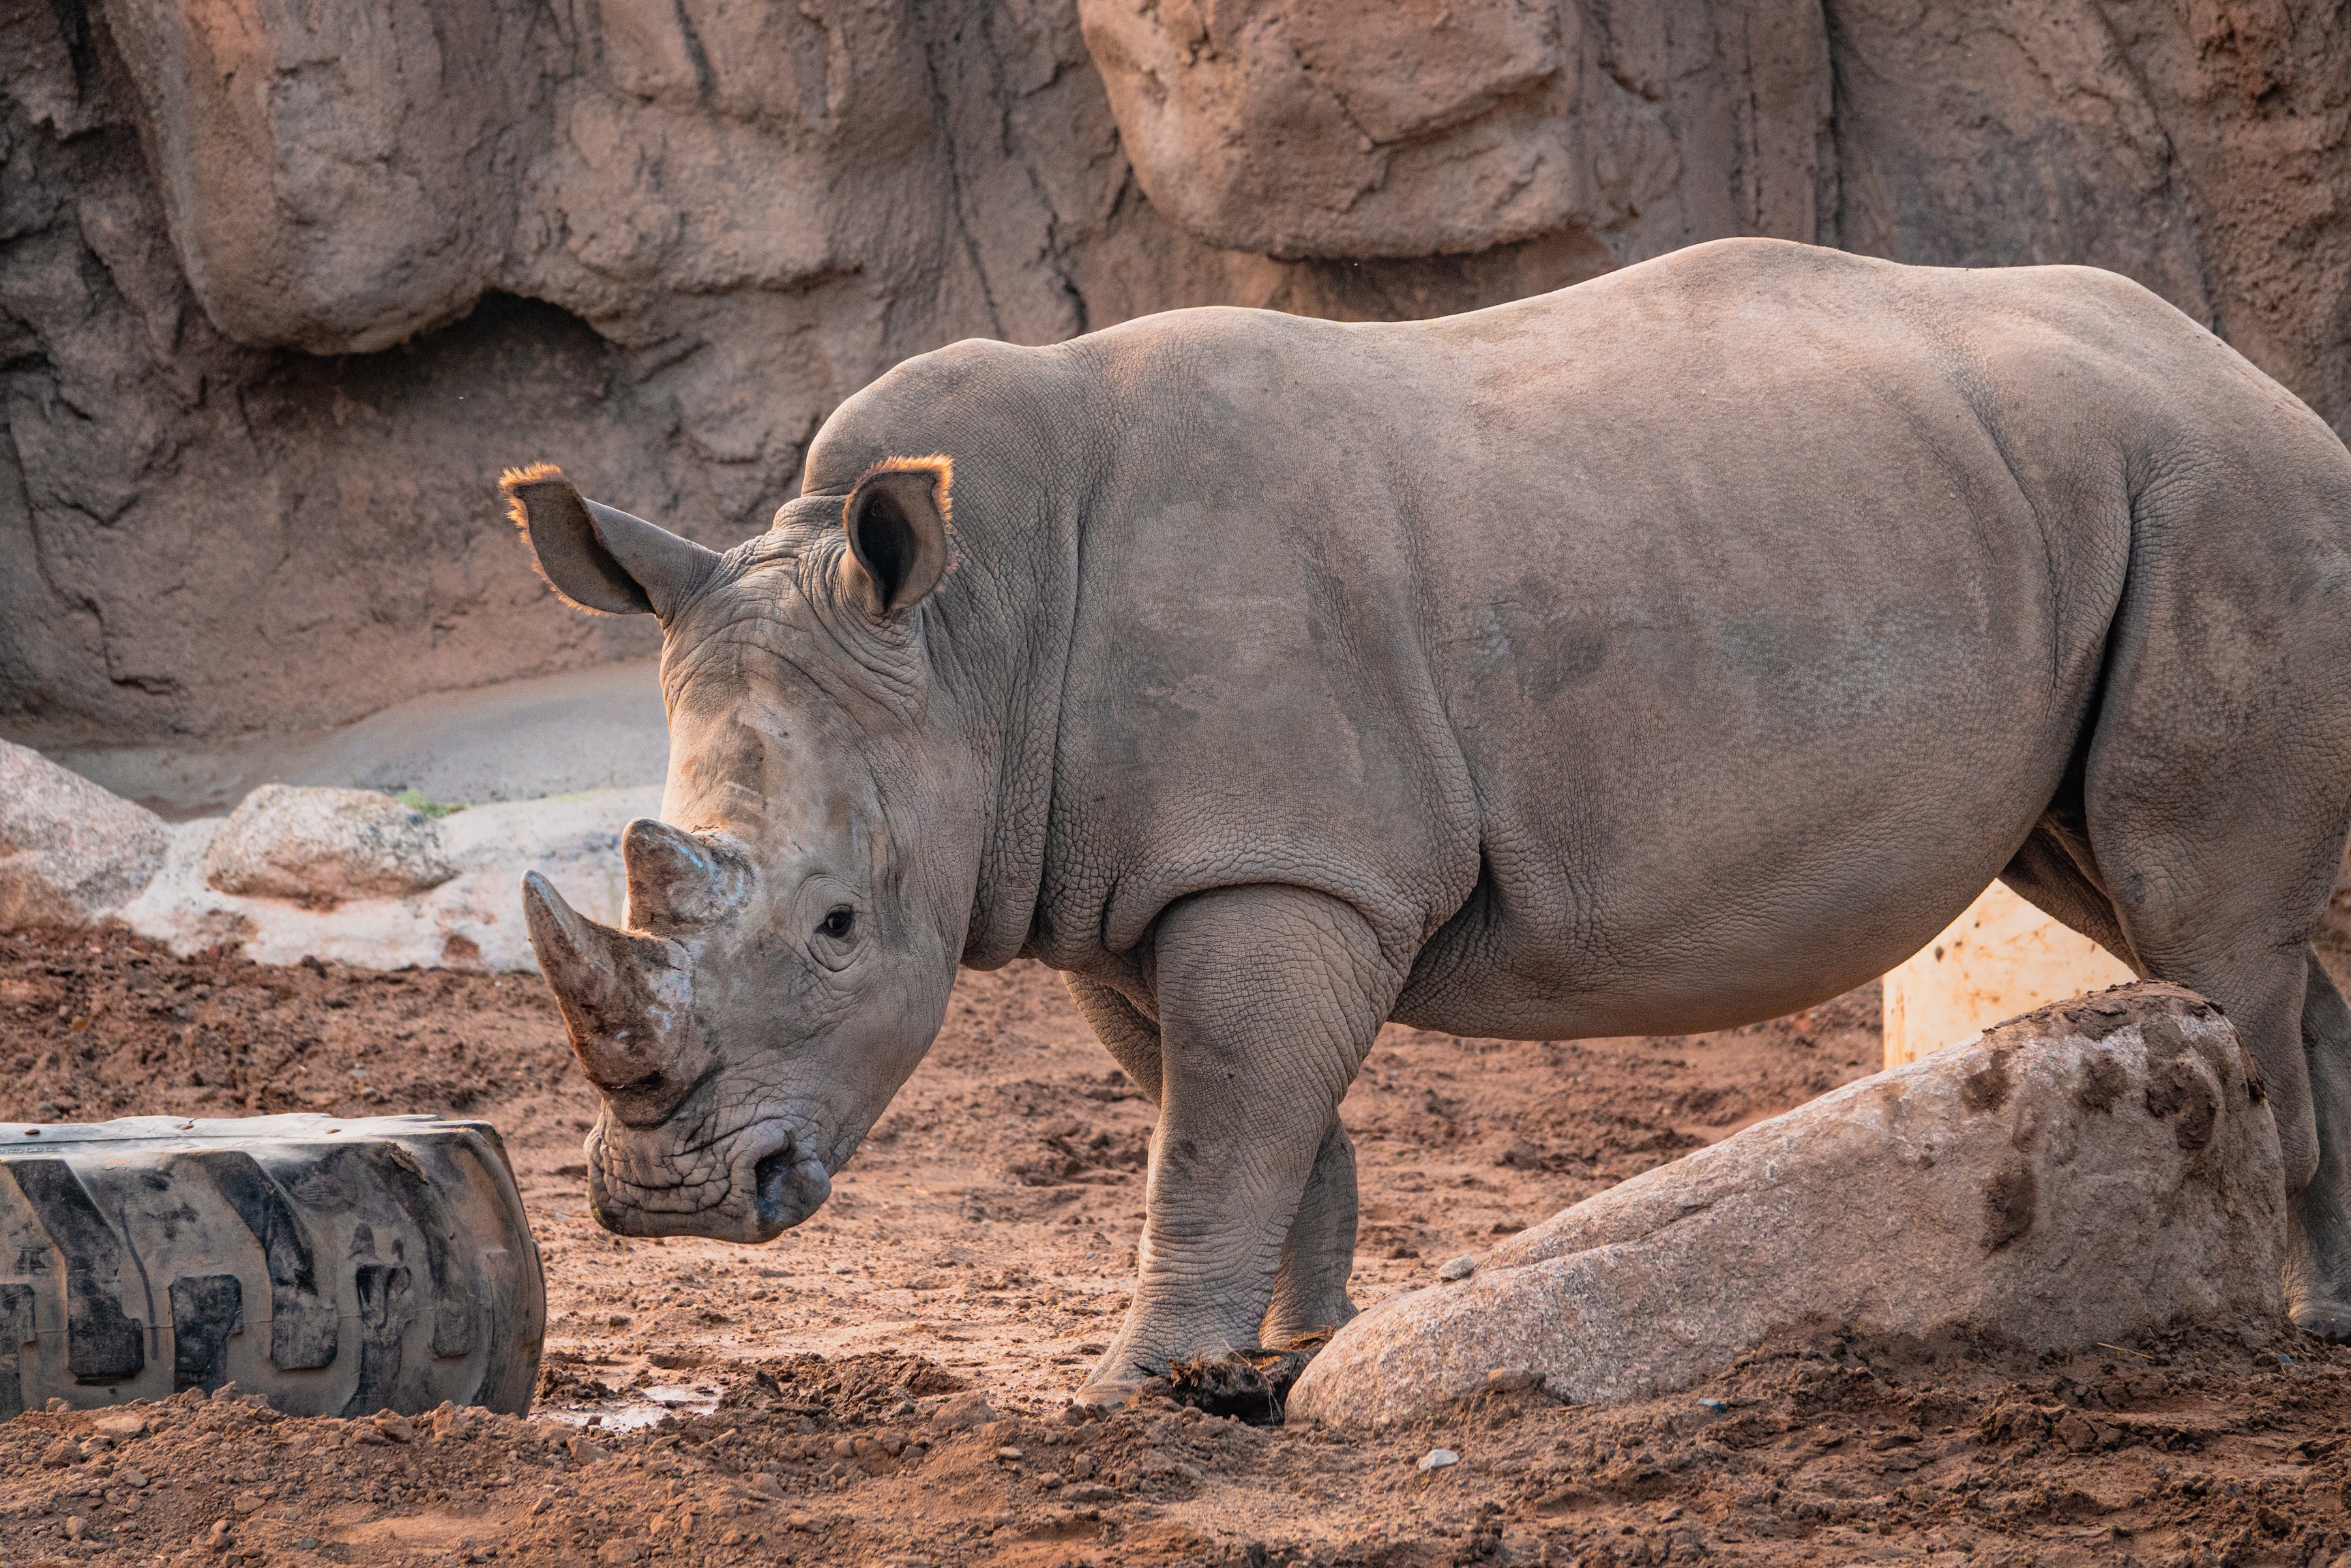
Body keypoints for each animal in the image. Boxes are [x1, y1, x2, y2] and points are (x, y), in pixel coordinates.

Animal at [507, 238, 2351, 1402]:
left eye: (835, 927)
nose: (669, 1200)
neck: (967, 643)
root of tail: (2260, 381)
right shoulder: (1138, 874)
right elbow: (1250, 1121)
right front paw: (1265, 1361)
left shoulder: (1276, 864)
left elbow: (1219, 1127)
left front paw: (1123, 1388)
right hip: (2076, 506)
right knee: (2132, 890)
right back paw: (2332, 1313)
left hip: (2223, 497)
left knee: (2197, 918)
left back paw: (2277, 1314)